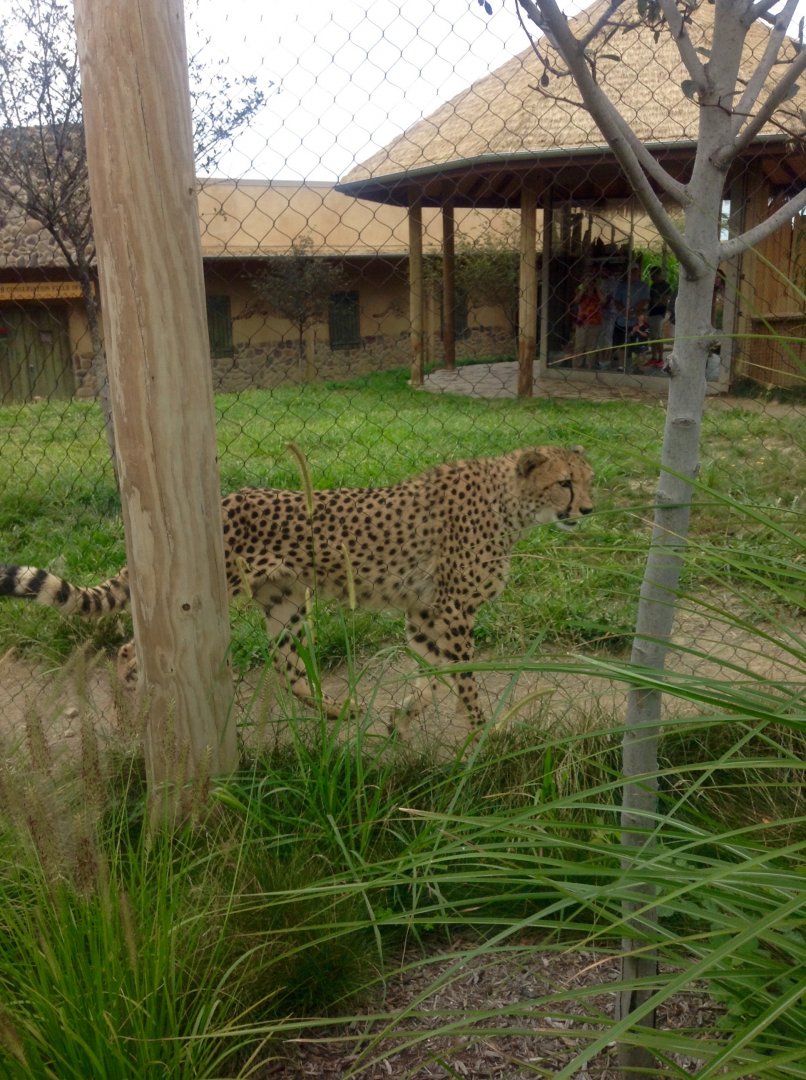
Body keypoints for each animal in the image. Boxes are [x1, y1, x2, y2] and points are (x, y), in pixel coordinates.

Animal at [0, 445, 593, 727]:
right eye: (564, 482)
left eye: (588, 481)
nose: (587, 510)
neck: (511, 503)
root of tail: (224, 499)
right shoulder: (452, 610)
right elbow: (463, 675)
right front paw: (484, 729)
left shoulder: (426, 612)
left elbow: (434, 670)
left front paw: (405, 715)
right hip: (219, 592)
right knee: (129, 646)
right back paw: (134, 708)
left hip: (286, 600)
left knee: (286, 665)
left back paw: (335, 711)